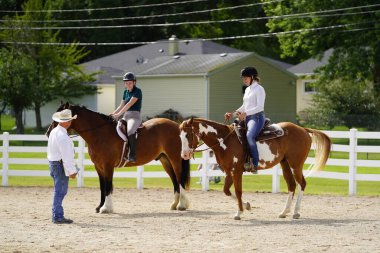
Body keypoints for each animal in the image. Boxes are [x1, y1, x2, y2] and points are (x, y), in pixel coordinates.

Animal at [46, 103, 190, 213]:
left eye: (58, 118)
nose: (48, 133)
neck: (99, 133)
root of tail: (176, 125)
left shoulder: (108, 166)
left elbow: (108, 186)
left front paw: (106, 208)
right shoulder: (99, 166)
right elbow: (102, 186)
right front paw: (99, 207)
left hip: (175, 159)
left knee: (179, 178)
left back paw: (182, 205)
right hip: (165, 160)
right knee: (174, 181)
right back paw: (174, 205)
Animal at [178, 118, 330, 219]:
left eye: (188, 135)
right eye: (180, 136)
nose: (184, 155)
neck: (225, 140)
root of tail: (303, 129)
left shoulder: (237, 171)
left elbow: (238, 191)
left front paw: (239, 213)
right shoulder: (228, 171)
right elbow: (226, 191)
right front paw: (246, 206)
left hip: (296, 164)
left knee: (301, 184)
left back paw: (296, 212)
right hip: (285, 164)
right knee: (291, 185)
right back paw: (284, 212)